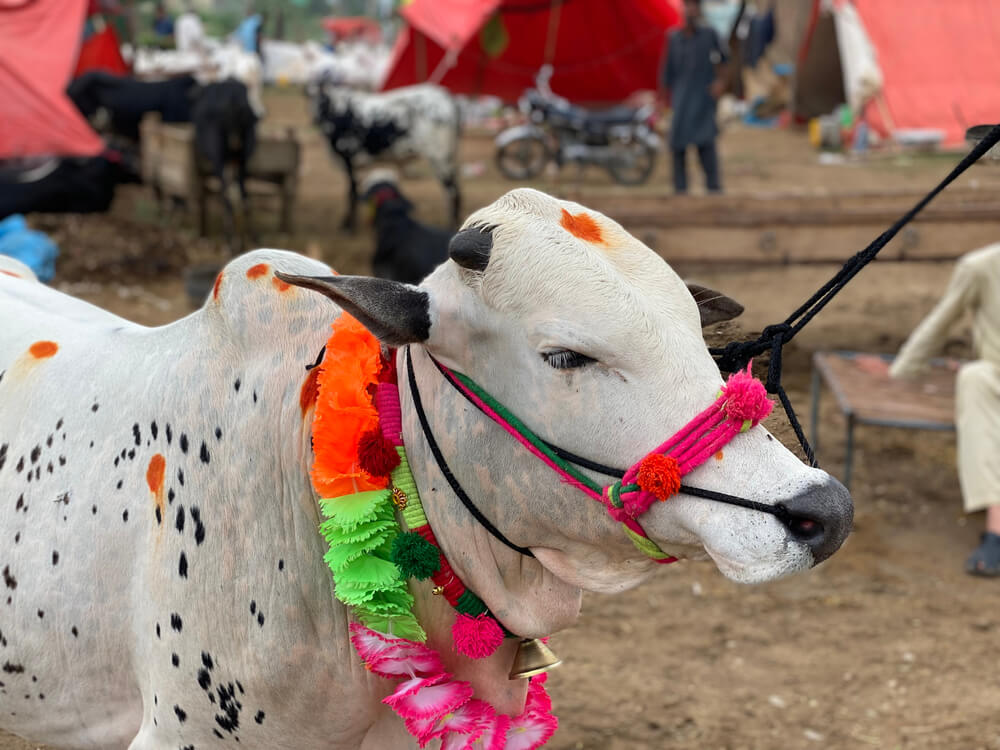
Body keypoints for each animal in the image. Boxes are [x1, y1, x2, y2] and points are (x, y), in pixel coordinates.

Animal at [308, 78, 460, 232]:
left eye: (323, 101)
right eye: (310, 98)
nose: (315, 119)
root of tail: (444, 97)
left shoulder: (348, 159)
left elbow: (351, 193)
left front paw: (348, 225)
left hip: (440, 158)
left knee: (452, 192)